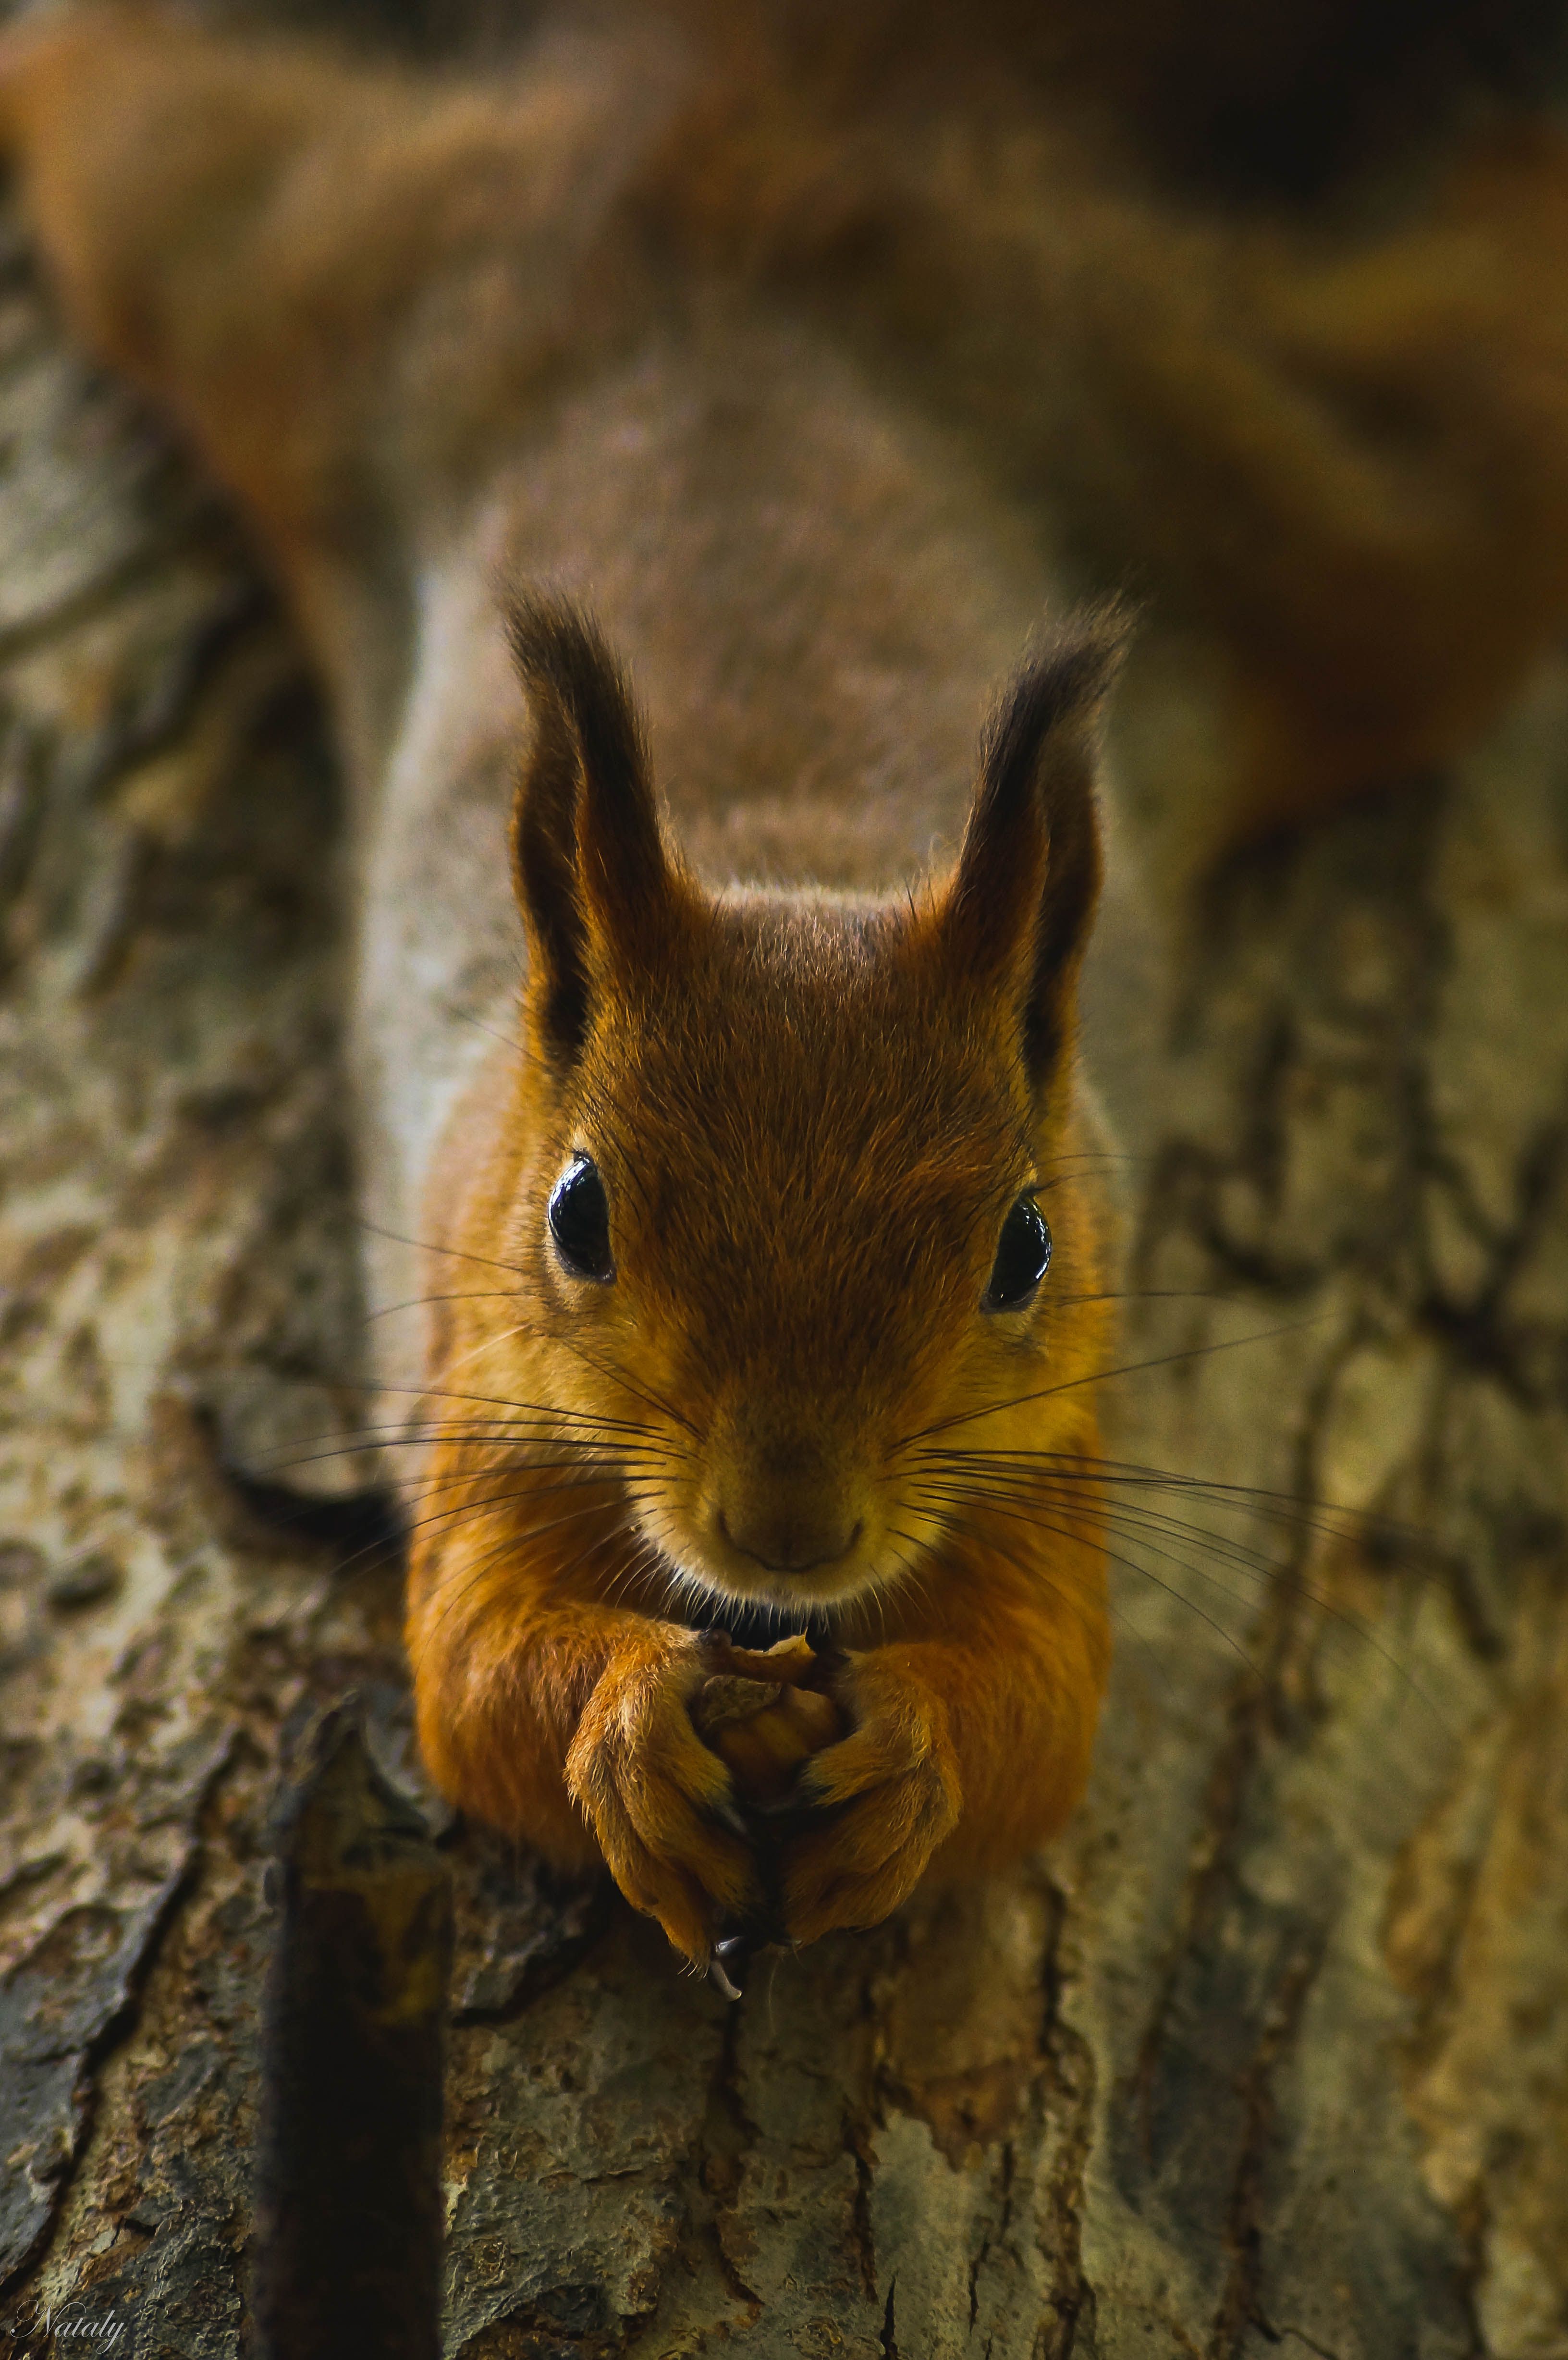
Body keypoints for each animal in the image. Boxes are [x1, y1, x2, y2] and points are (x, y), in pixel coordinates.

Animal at [12, 4, 1568, 1973]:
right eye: (579, 1213)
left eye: (1023, 1246)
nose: (787, 1525)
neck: (801, 859)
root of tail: (771, 139)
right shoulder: (483, 1385)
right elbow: (473, 1674)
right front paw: (620, 1729)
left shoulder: (1051, 1437)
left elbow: (1043, 1710)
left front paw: (915, 1755)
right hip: (274, 270)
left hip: (1315, 529)